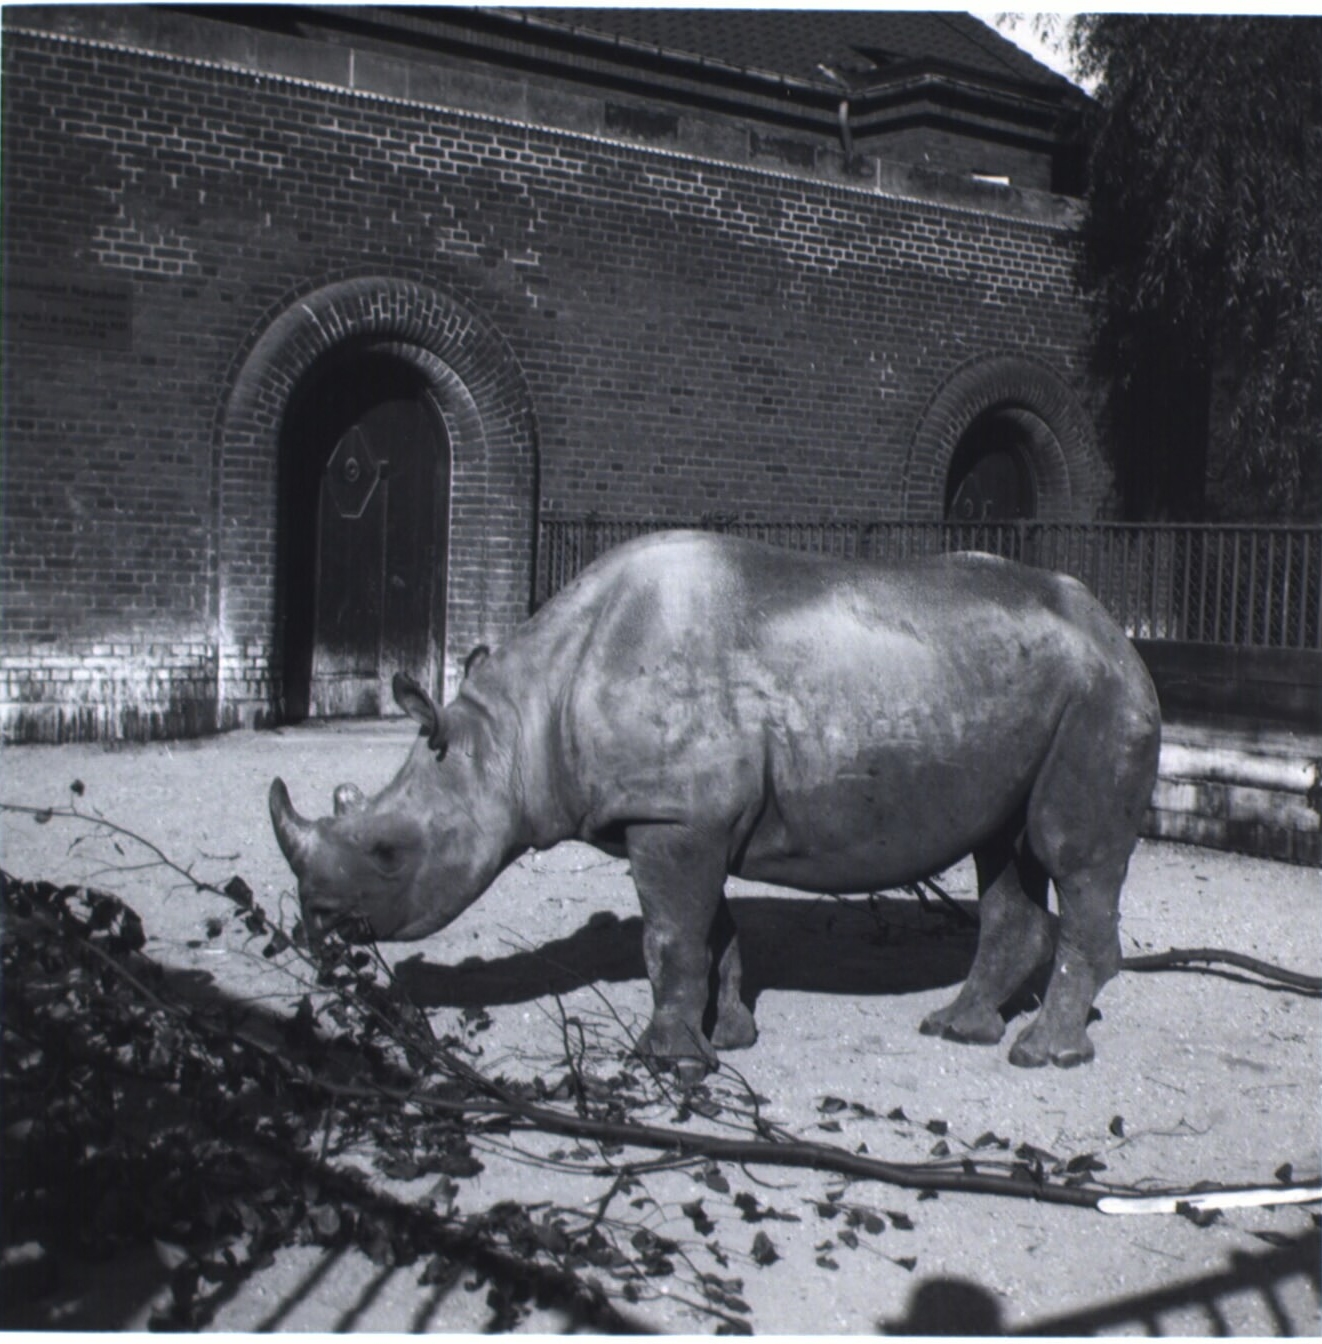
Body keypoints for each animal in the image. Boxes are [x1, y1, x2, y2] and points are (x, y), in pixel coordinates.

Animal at [271, 530, 1160, 1072]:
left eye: (389, 854)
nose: (317, 929)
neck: (514, 730)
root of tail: (1117, 631)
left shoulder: (674, 816)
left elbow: (669, 937)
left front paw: (666, 1061)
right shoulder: (684, 817)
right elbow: (710, 933)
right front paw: (729, 1039)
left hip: (1099, 696)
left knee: (1069, 853)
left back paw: (1042, 1054)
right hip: (1022, 690)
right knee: (1005, 852)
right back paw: (959, 1029)